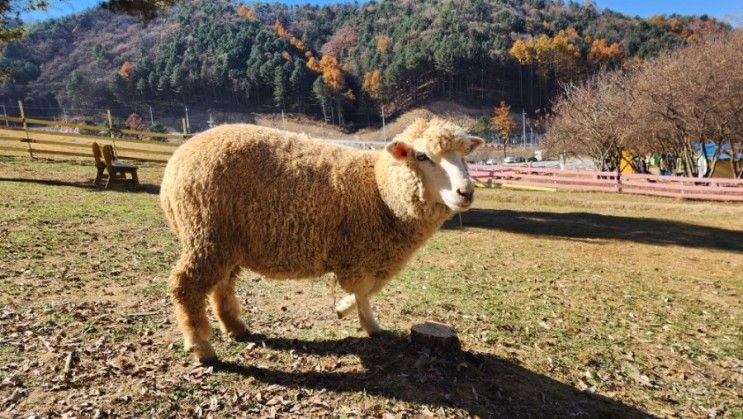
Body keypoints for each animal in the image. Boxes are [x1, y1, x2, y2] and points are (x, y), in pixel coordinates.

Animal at [161, 118, 486, 364]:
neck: (380, 190)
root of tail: (177, 159)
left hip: (224, 242)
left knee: (221, 284)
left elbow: (371, 289)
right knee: (185, 287)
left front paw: (345, 309)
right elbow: (364, 290)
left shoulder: (371, 254)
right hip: (206, 234)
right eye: (422, 157)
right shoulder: (357, 253)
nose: (466, 192)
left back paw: (235, 326)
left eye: (464, 157)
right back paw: (201, 347)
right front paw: (367, 323)